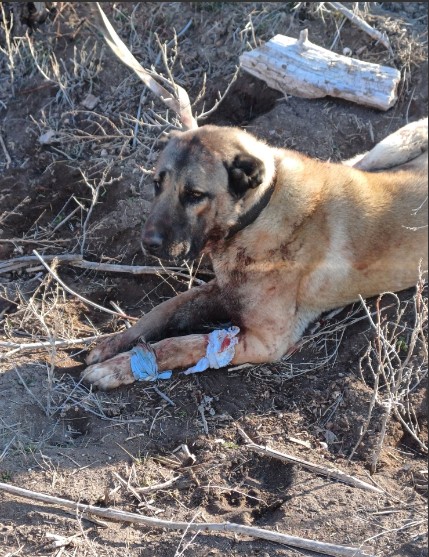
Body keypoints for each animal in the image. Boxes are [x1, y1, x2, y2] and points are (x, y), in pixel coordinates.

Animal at [82, 120, 426, 390]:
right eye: (157, 184)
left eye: (194, 195)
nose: (147, 243)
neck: (260, 209)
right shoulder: (223, 289)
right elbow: (163, 310)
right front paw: (116, 343)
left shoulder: (263, 342)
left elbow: (181, 343)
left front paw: (121, 367)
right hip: (387, 149)